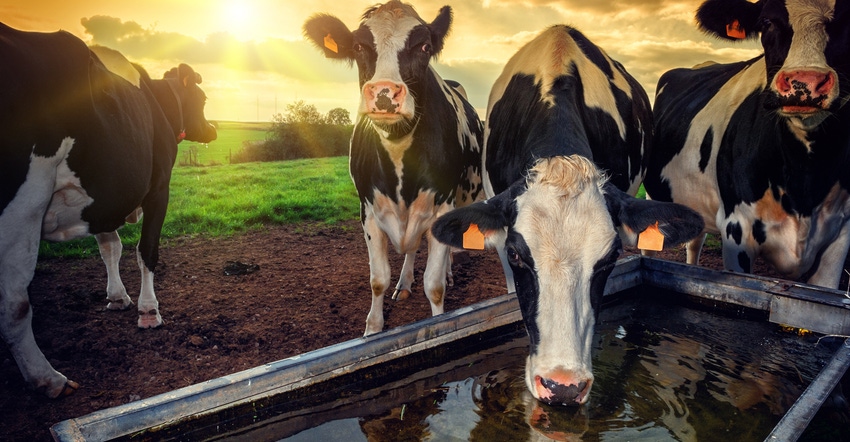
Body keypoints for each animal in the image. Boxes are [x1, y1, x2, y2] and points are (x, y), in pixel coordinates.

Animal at [0, 22, 215, 398]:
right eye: (202, 100)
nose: (215, 129)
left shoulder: (104, 196)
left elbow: (110, 247)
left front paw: (117, 297)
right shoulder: (158, 187)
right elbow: (146, 250)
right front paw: (148, 311)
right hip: (24, 204)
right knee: (15, 304)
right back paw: (50, 379)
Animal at [304, 0, 484, 334]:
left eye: (424, 47)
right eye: (359, 46)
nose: (385, 93)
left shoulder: (441, 206)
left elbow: (434, 285)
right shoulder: (369, 211)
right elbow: (378, 280)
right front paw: (373, 329)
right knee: (410, 250)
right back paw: (404, 283)